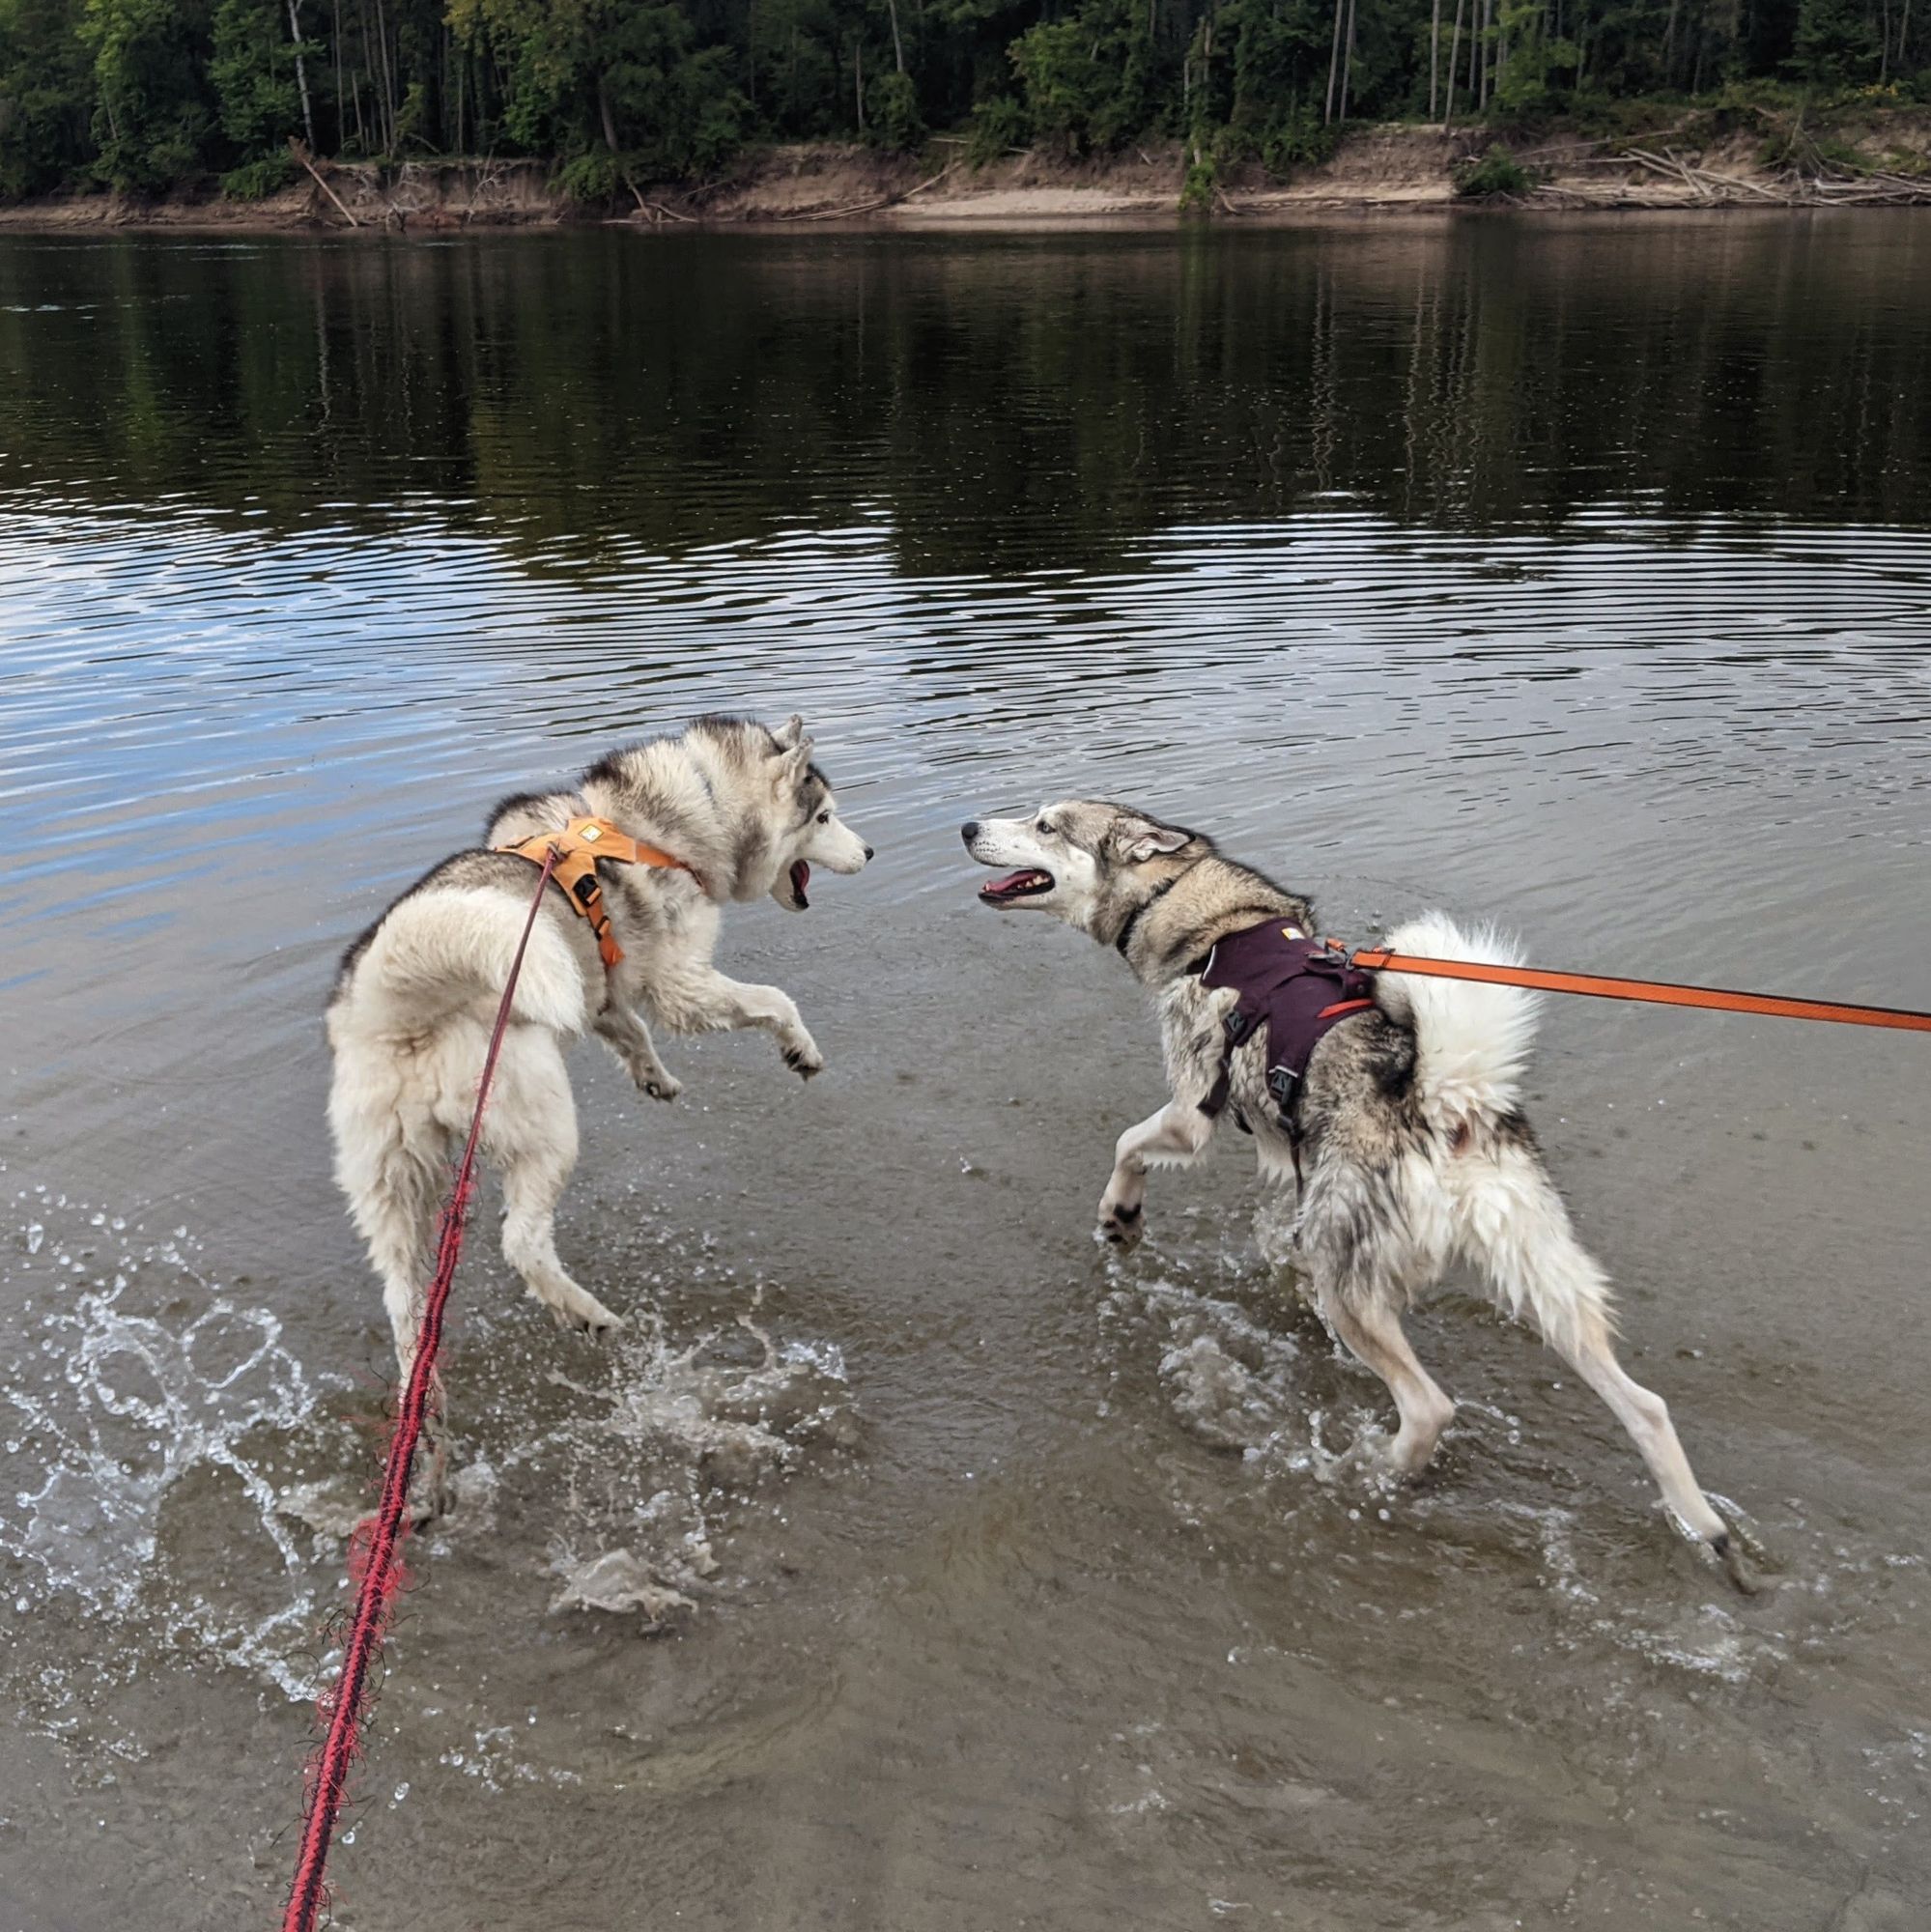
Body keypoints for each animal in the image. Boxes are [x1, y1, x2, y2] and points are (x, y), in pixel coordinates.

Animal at [333, 723, 876, 1376]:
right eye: (824, 817)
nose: (870, 853)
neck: (693, 810)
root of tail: (394, 1008)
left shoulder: (604, 996)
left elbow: (633, 1032)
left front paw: (655, 1078)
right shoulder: (680, 984)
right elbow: (775, 1000)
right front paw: (801, 1049)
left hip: (393, 1187)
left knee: (402, 1297)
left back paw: (425, 1380)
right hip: (543, 1129)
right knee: (522, 1243)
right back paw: (587, 1313)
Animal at [965, 800, 1753, 1584]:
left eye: (1045, 824)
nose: (970, 827)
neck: (1212, 924)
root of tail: (1446, 1102)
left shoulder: (1192, 1115)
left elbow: (1126, 1144)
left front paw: (1120, 1216)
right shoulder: (1284, 1162)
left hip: (1356, 1291)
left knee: (1430, 1407)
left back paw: (1376, 1471)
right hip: (1547, 1286)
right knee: (1645, 1407)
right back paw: (1705, 1529)